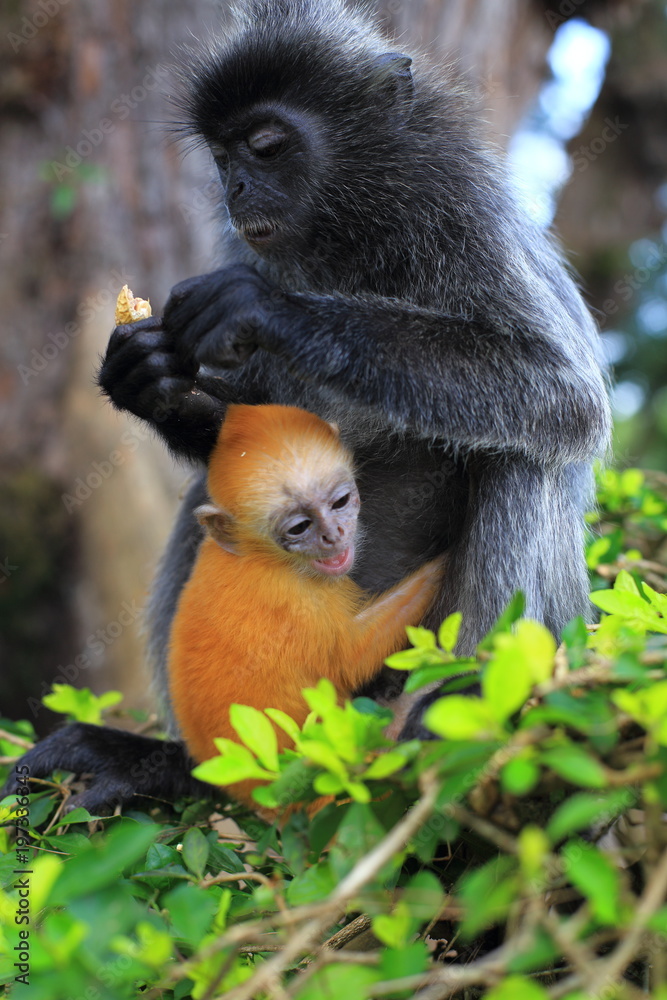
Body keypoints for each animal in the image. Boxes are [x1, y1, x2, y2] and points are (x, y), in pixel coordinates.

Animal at [167, 402, 444, 816]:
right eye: (299, 527)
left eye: (340, 502)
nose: (334, 535)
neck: (261, 558)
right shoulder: (294, 599)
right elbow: (349, 657)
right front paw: (445, 565)